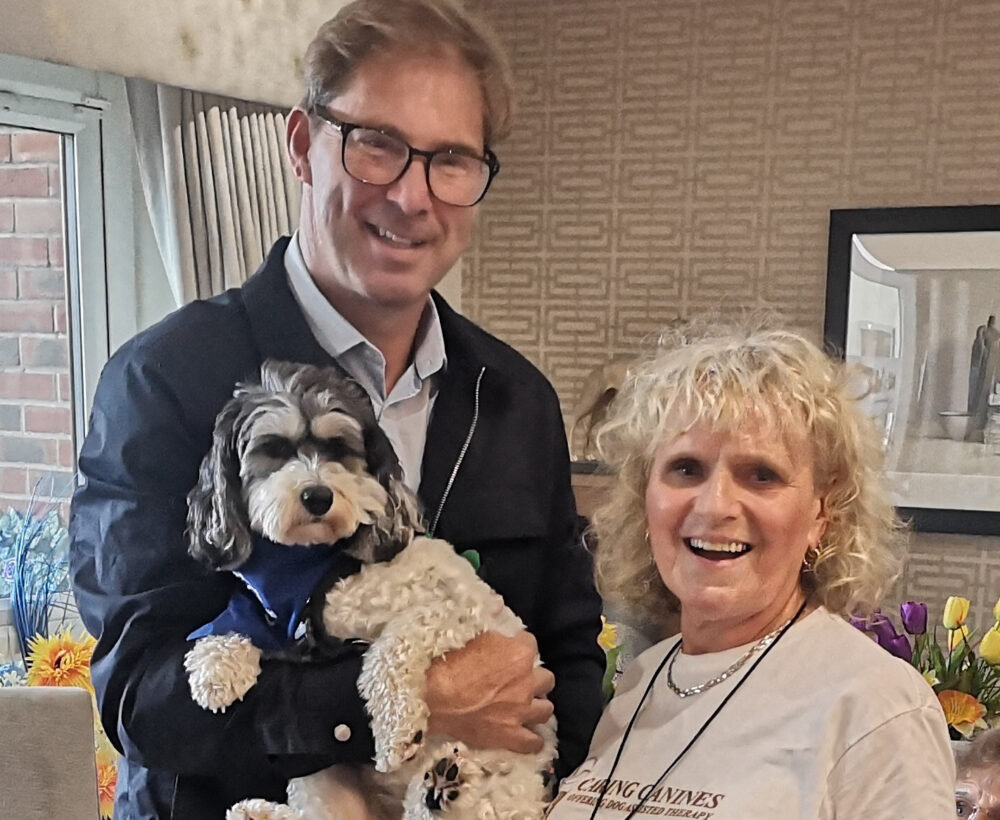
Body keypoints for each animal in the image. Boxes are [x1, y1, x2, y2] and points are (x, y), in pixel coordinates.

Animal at [184, 358, 560, 820]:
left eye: (340, 449)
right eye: (273, 449)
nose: (318, 496)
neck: (311, 563)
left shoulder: (456, 606)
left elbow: (389, 649)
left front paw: (397, 727)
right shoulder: (279, 617)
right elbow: (238, 618)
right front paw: (216, 664)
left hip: (502, 788)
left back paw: (443, 784)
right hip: (321, 780)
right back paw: (259, 812)